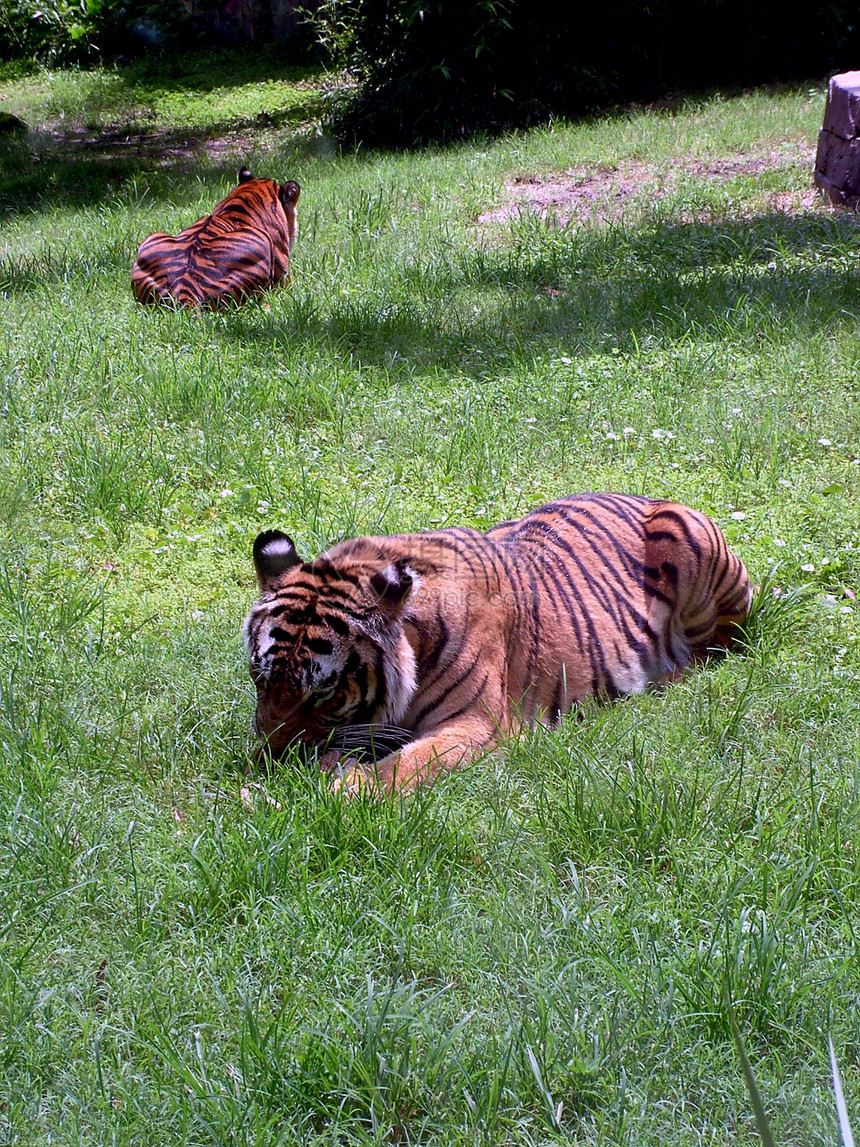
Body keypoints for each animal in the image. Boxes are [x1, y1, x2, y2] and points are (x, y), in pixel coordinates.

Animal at [244, 493, 752, 798]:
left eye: (323, 694)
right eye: (260, 679)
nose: (271, 759)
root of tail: (649, 496)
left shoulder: (479, 724)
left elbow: (405, 765)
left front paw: (339, 790)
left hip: (692, 545)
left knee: (722, 647)